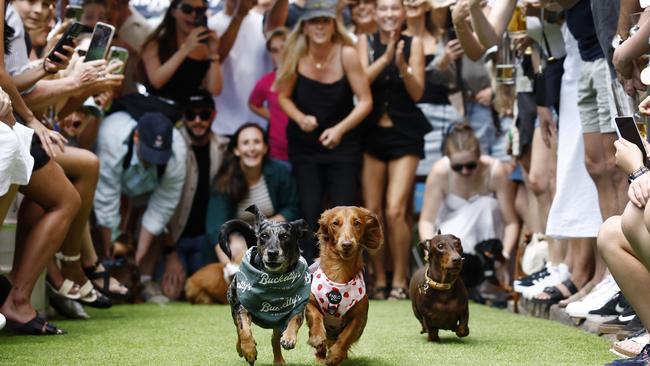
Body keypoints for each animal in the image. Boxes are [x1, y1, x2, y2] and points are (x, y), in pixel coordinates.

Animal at [306, 207, 382, 364]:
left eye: (357, 222)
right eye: (335, 223)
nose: (347, 244)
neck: (339, 274)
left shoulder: (358, 316)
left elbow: (345, 337)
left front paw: (334, 356)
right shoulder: (310, 302)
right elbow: (316, 316)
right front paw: (317, 337)